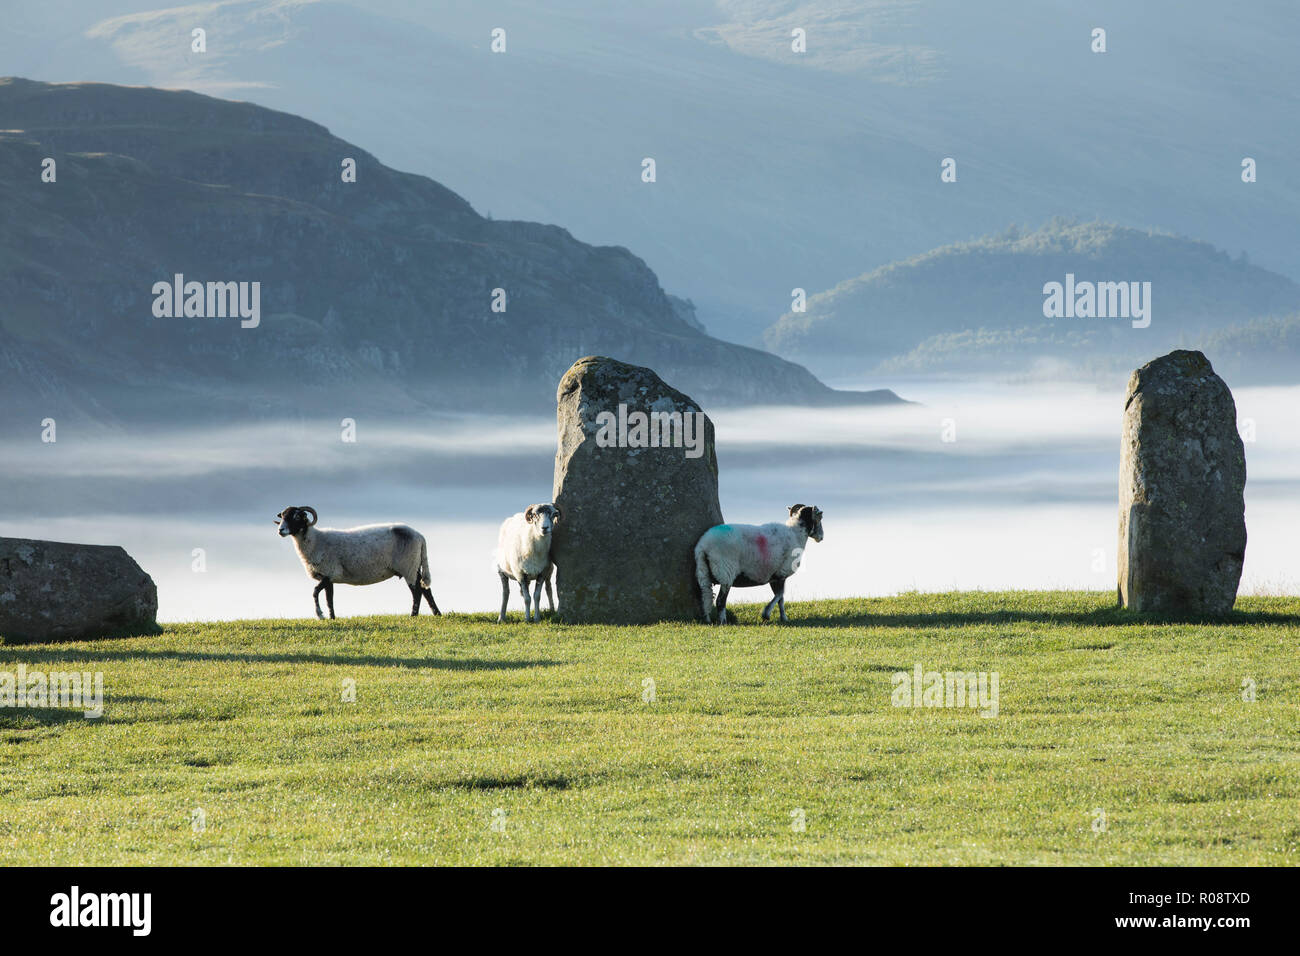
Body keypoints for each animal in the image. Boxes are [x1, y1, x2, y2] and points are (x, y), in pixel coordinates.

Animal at [274, 505, 440, 620]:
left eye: (296, 517)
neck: (315, 540)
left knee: (417, 591)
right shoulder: (329, 577)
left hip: (408, 566)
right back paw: (437, 613)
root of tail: (419, 536)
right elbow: (329, 599)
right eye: (282, 516)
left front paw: (320, 615)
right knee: (425, 589)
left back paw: (413, 615)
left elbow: (315, 592)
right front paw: (332, 618)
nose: (280, 530)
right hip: (415, 565)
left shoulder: (329, 572)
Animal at [694, 504, 824, 624]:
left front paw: (783, 618)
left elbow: (780, 599)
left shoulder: (774, 577)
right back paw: (723, 622)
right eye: (820, 517)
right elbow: (780, 595)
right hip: (726, 573)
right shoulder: (780, 574)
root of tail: (703, 545)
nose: (821, 537)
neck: (796, 534)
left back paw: (707, 620)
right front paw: (766, 614)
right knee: (720, 601)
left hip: (703, 572)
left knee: (705, 597)